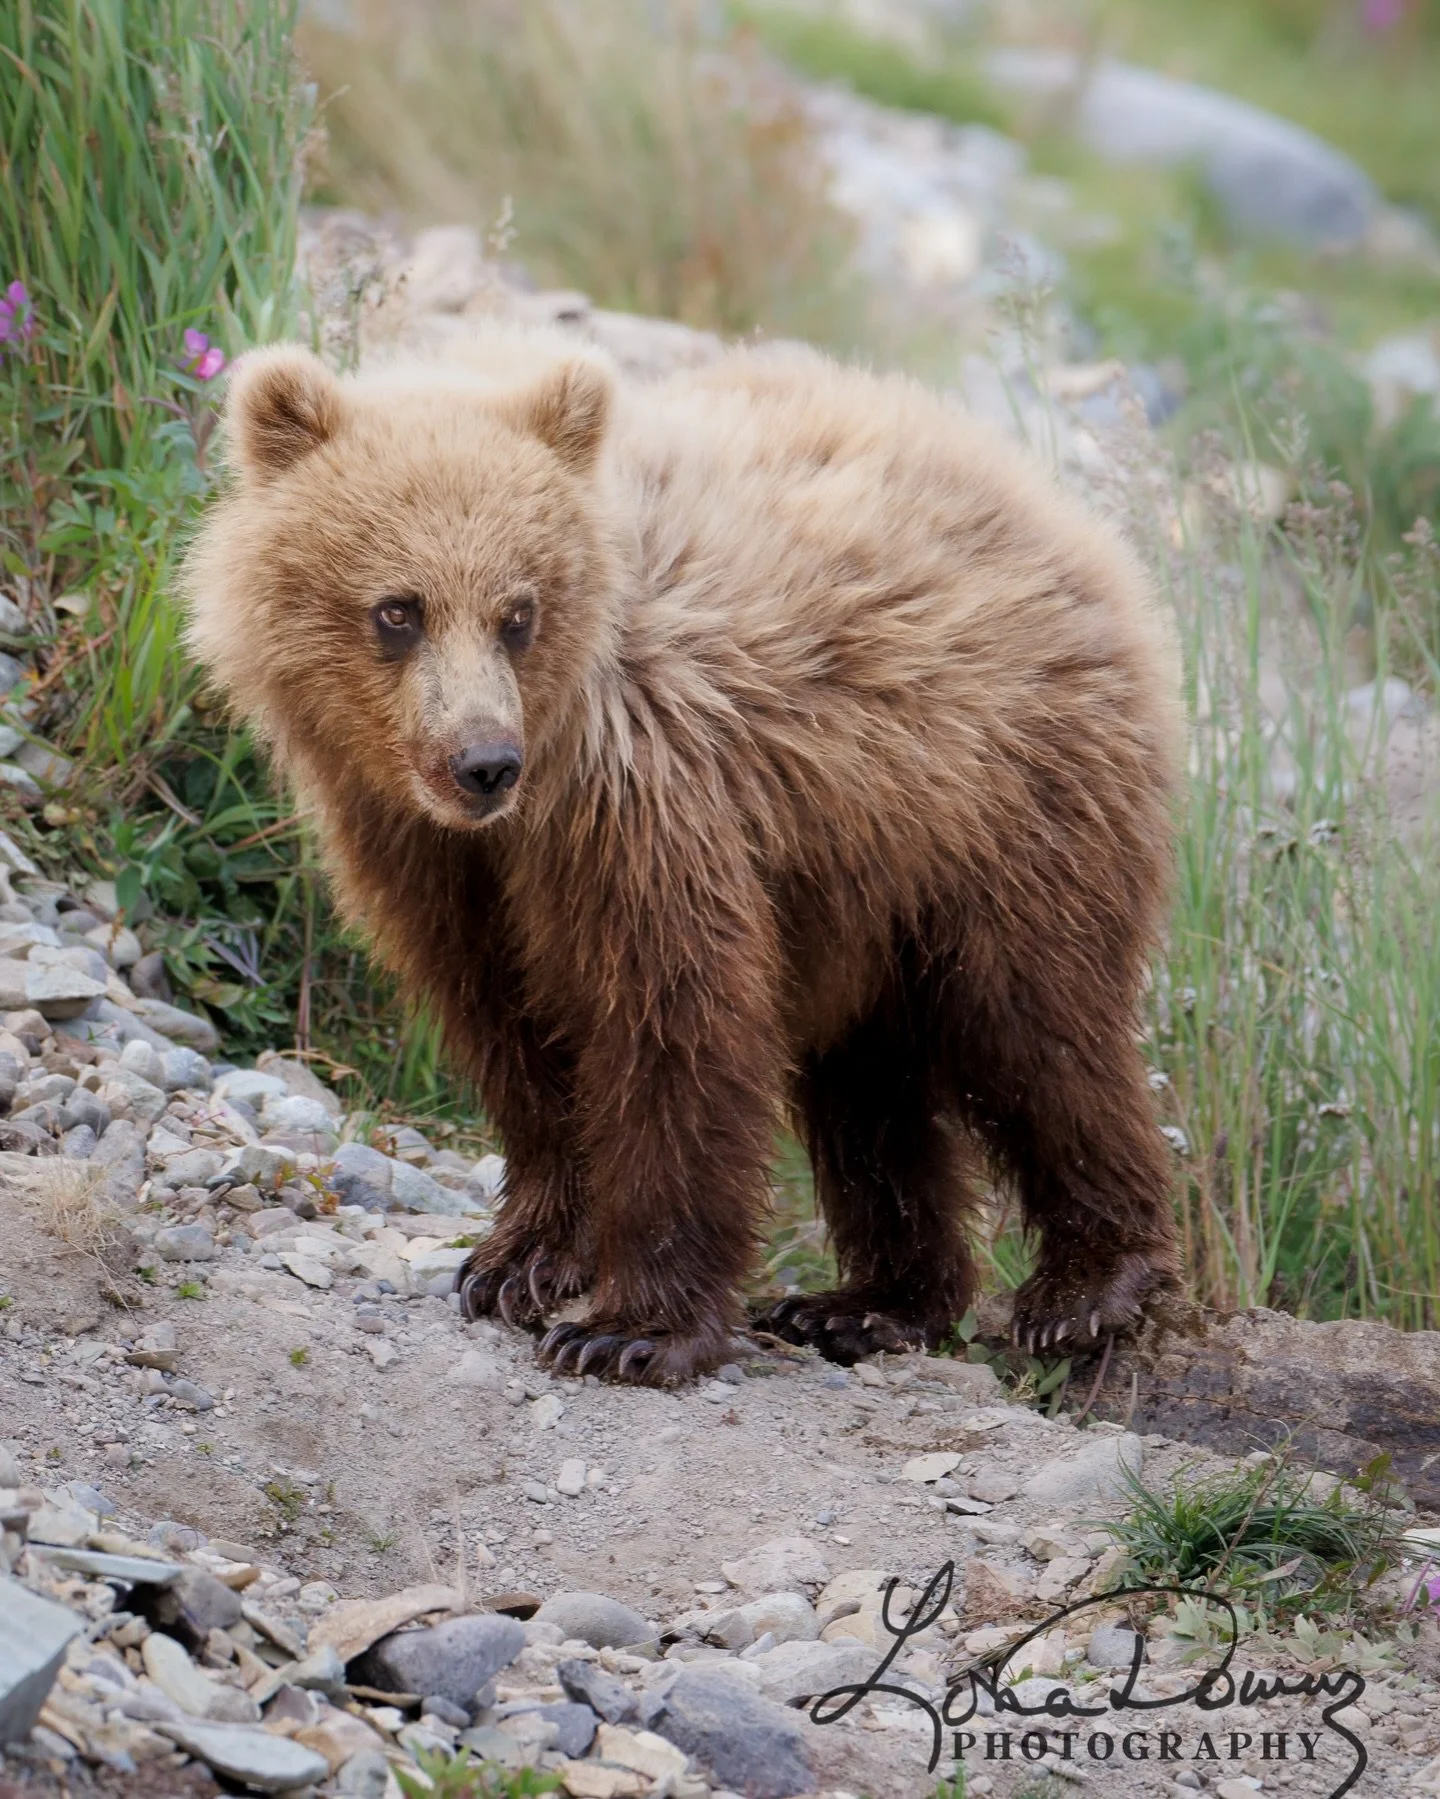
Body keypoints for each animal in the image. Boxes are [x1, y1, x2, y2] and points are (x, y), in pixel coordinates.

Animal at [181, 325, 1184, 1386]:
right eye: (397, 610)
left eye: (517, 612)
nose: (484, 762)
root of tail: (1069, 522)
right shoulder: (426, 854)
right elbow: (508, 1023)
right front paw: (519, 1259)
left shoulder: (648, 795)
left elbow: (671, 1013)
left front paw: (628, 1325)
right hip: (862, 876)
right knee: (869, 1077)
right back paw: (869, 1301)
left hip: (1000, 807)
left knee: (1033, 1028)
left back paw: (1089, 1288)